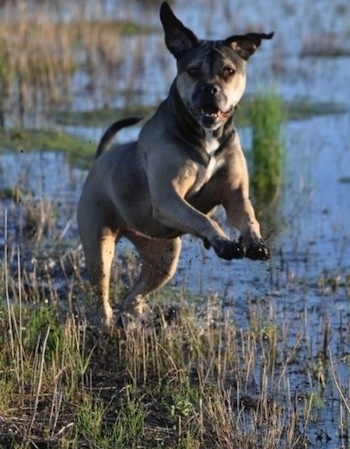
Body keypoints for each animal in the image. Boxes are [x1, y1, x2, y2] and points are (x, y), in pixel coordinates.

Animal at [78, 1, 274, 328]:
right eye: (192, 71)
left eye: (228, 71)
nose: (210, 89)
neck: (204, 136)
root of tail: (99, 161)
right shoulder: (169, 197)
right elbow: (203, 219)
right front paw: (222, 242)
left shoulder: (235, 195)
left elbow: (248, 216)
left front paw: (255, 242)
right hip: (99, 246)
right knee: (103, 294)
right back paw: (106, 325)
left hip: (163, 256)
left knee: (133, 296)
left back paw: (135, 318)